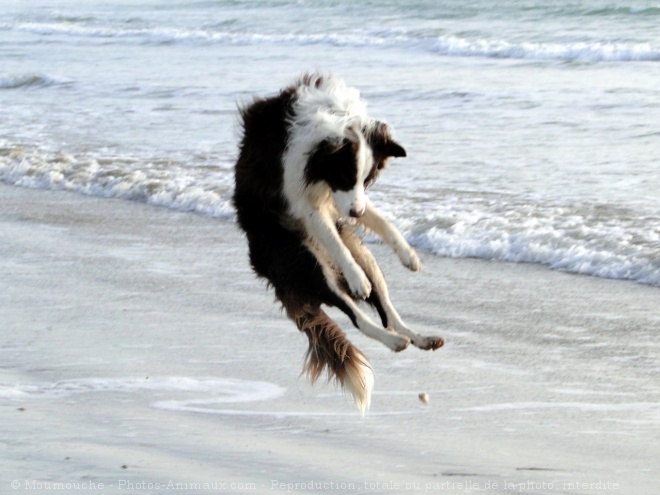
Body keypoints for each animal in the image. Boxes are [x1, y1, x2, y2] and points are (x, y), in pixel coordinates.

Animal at [232, 73, 444, 414]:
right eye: (344, 176)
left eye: (367, 180)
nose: (355, 213)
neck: (336, 124)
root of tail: (260, 264)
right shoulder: (301, 197)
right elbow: (331, 239)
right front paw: (356, 279)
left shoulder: (343, 201)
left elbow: (382, 221)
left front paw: (408, 255)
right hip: (306, 261)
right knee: (357, 316)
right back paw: (392, 337)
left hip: (363, 253)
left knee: (387, 311)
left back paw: (416, 337)